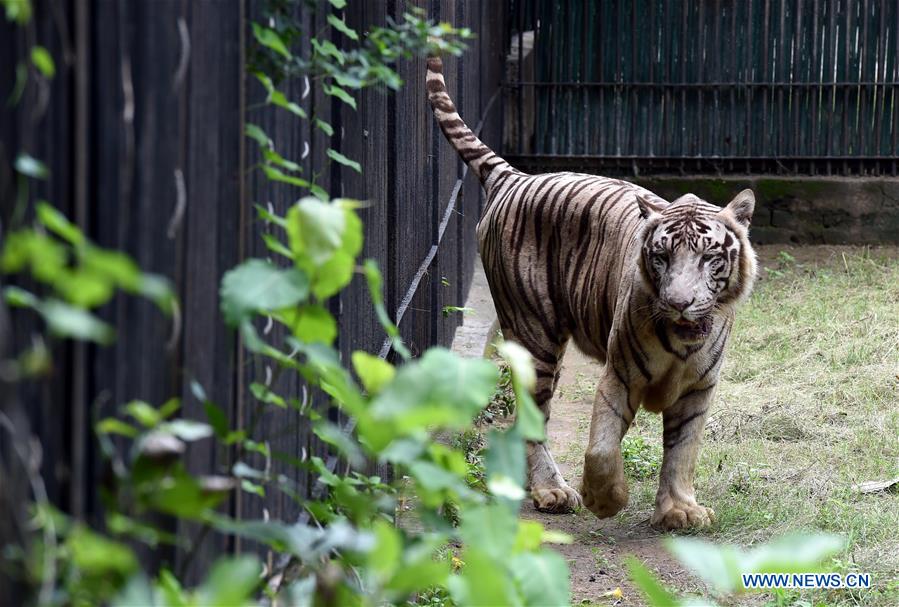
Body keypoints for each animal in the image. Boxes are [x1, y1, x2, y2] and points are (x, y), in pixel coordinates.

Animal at [426, 56, 757, 530]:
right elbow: (602, 446)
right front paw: (605, 499)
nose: (679, 303)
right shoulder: (619, 374)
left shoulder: (698, 388)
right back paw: (553, 491)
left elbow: (683, 451)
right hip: (535, 339)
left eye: (709, 257)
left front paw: (680, 509)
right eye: (661, 258)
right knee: (531, 419)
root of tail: (515, 177)